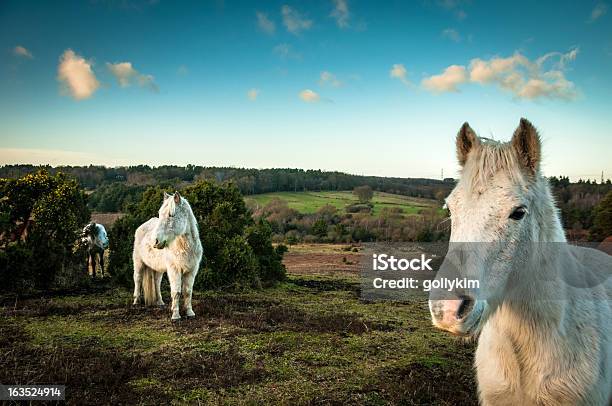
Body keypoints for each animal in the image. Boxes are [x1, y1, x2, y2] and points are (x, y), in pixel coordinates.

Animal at [132, 192, 203, 322]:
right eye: (160, 214)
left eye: (171, 214)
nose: (155, 241)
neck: (184, 247)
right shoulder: (174, 270)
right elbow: (176, 292)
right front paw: (175, 316)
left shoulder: (191, 271)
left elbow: (187, 292)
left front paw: (190, 313)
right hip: (138, 263)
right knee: (138, 279)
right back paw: (136, 301)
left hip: (158, 269)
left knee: (156, 282)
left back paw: (160, 302)